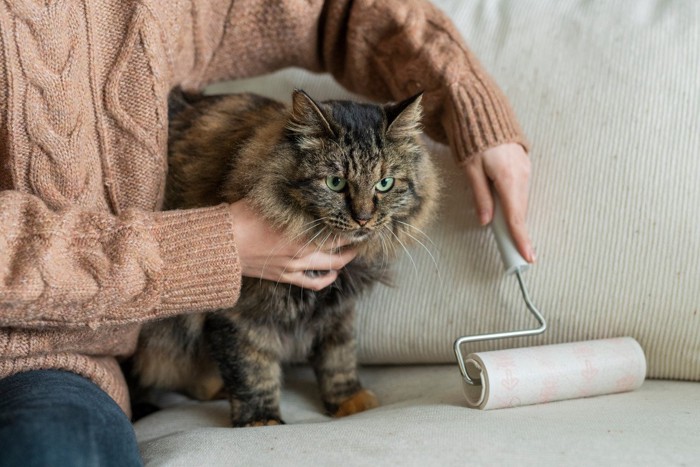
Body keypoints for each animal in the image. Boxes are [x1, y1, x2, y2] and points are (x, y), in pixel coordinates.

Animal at [130, 88, 438, 428]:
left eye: (385, 184)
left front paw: (348, 400)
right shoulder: (240, 315)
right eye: (335, 183)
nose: (363, 218)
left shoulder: (338, 307)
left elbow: (338, 355)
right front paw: (260, 421)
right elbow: (252, 371)